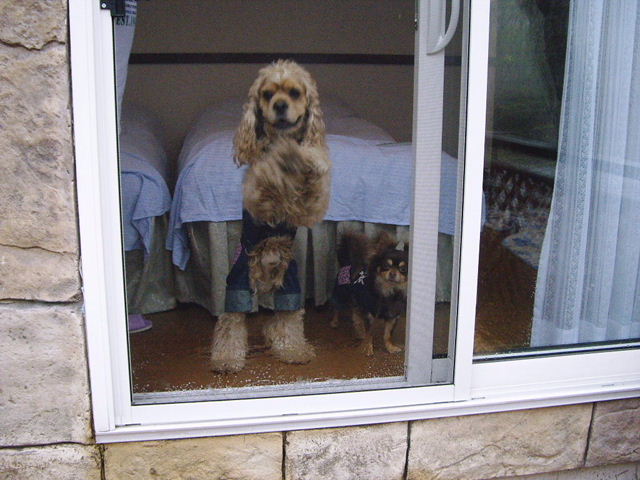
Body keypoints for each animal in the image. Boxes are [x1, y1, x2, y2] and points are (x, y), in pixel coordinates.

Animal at [211, 60, 331, 373]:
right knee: (231, 321)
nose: (279, 105)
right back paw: (227, 358)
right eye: (267, 94)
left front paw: (305, 158)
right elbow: (267, 174)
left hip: (290, 283)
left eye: (295, 92)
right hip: (238, 281)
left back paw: (292, 350)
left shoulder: (309, 207)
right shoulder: (259, 202)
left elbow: (310, 177)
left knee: (286, 319)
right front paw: (279, 159)